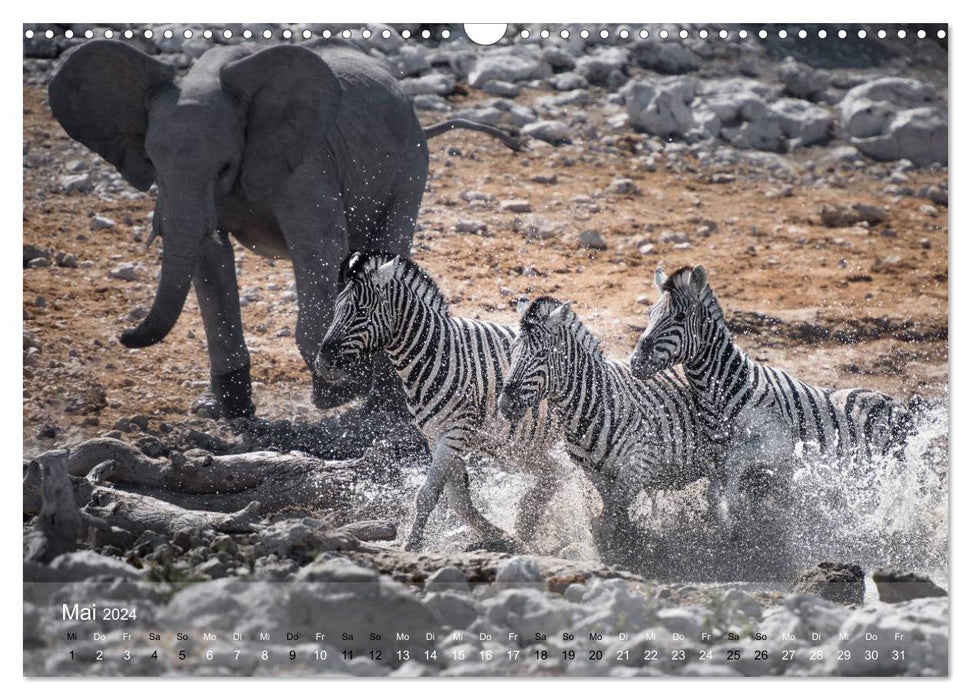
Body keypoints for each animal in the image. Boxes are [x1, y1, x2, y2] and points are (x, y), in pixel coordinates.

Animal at [51, 38, 524, 418]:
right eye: (150, 162)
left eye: (225, 166)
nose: (123, 334)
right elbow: (208, 258)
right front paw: (236, 411)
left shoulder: (306, 162)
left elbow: (318, 246)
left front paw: (337, 392)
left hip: (411, 163)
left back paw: (383, 406)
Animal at [316, 252, 560, 552]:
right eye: (337, 308)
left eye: (361, 311)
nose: (323, 363)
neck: (434, 355)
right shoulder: (436, 436)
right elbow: (457, 500)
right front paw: (500, 535)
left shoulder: (455, 432)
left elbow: (428, 493)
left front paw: (412, 545)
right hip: (516, 445)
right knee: (556, 472)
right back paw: (528, 521)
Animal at [498, 296, 712, 564]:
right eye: (512, 351)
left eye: (542, 354)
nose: (505, 404)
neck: (592, 406)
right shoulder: (598, 475)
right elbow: (607, 520)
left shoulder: (639, 464)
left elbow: (610, 521)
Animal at [628, 266, 916, 532]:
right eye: (649, 314)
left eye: (679, 316)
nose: (635, 362)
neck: (723, 389)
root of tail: (898, 404)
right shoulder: (715, 453)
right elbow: (718, 489)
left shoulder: (777, 443)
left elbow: (734, 465)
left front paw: (734, 514)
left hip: (885, 470)